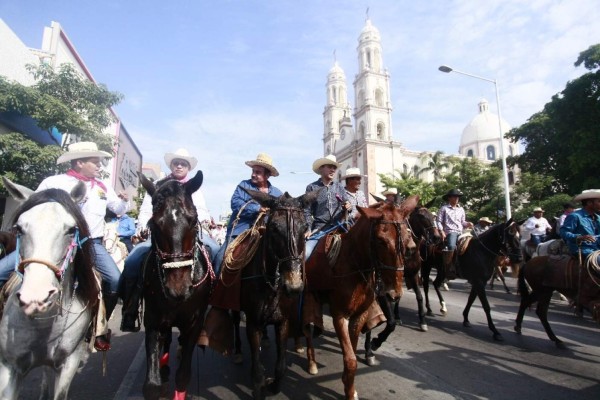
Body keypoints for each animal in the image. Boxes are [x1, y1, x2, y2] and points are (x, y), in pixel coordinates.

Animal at [138, 172, 213, 400]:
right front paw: (159, 378)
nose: (178, 288)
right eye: (154, 224)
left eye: (194, 220)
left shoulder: (194, 322)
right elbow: (151, 385)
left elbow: (183, 375)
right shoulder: (153, 320)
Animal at [233, 189, 318, 398]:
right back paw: (237, 351)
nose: (294, 286)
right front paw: (260, 387)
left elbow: (281, 367)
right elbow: (257, 370)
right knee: (235, 322)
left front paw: (273, 385)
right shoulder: (253, 324)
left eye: (305, 228)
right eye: (273, 228)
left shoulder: (283, 322)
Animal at [300, 195, 418, 398]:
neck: (352, 264)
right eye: (380, 240)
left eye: (406, 237)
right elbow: (351, 360)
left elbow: (352, 353)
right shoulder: (340, 315)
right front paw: (349, 390)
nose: (394, 293)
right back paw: (311, 362)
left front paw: (349, 387)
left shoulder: (359, 315)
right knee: (306, 328)